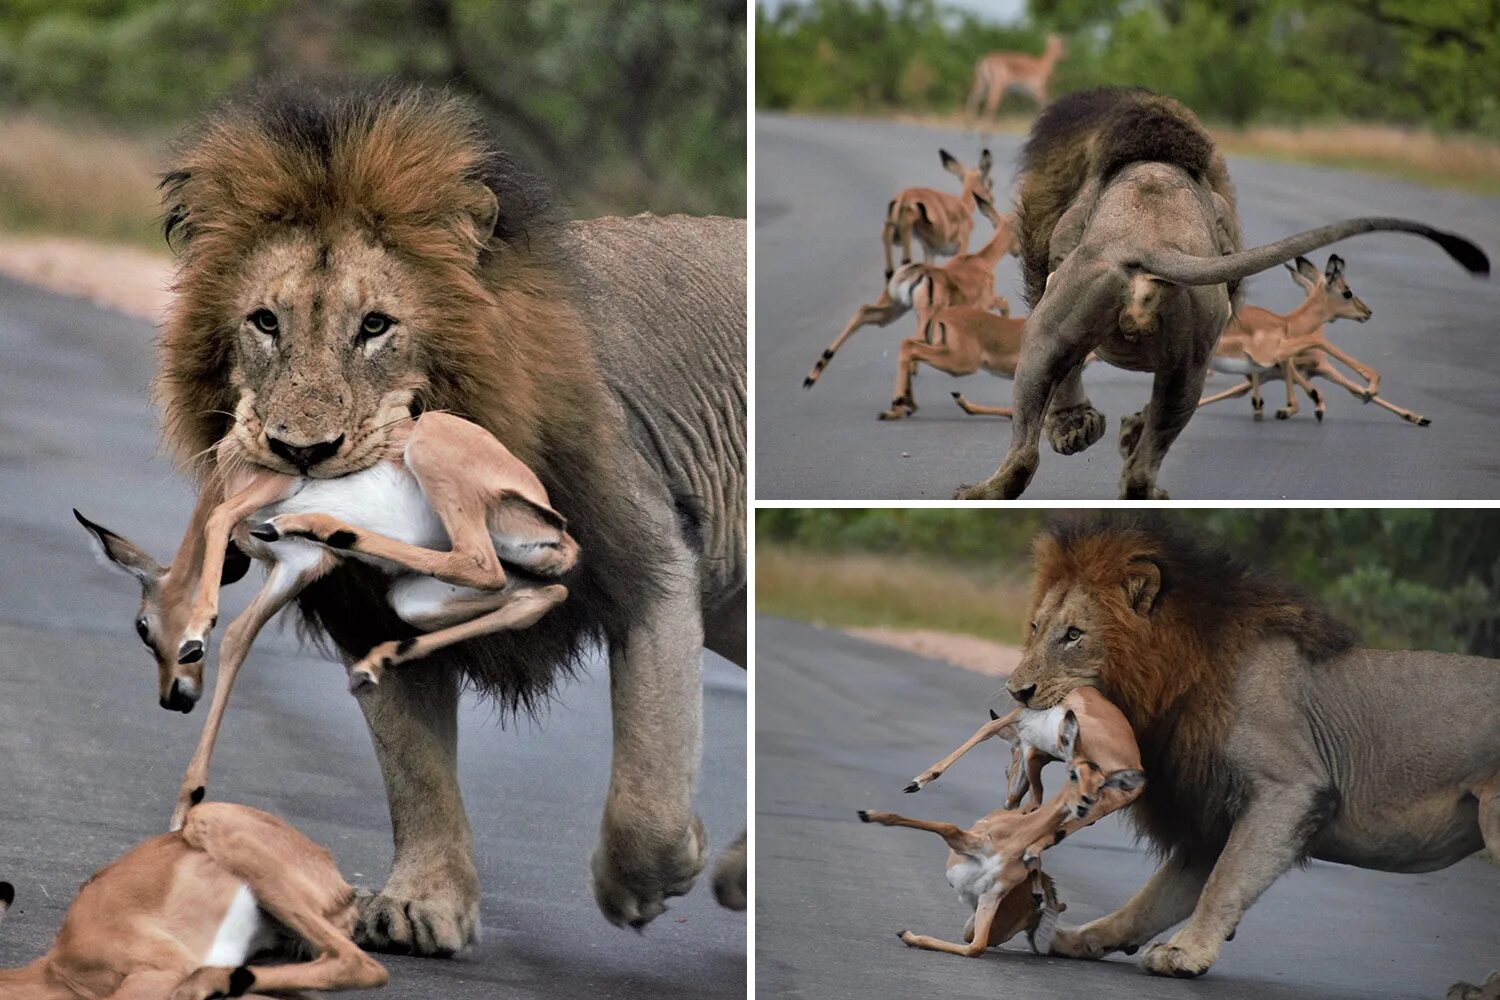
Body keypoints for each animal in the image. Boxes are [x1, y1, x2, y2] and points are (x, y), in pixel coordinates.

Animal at [149, 88, 747, 953]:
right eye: (266, 322)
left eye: (375, 326)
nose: (302, 451)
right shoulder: (366, 608)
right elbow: (417, 769)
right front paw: (420, 903)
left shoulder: (650, 560)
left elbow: (650, 789)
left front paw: (643, 882)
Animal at [960, 88, 1488, 500]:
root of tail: (1148, 240)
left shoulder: (1050, 255)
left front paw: (1082, 428)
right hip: (1189, 356)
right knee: (1135, 462)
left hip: (1049, 333)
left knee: (1035, 445)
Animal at [1002, 515, 1500, 995]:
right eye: (1036, 627)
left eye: (1073, 635)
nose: (1016, 691)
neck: (1176, 683)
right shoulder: (1210, 819)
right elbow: (1152, 899)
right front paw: (1080, 938)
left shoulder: (1291, 789)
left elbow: (1224, 882)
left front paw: (1185, 953)